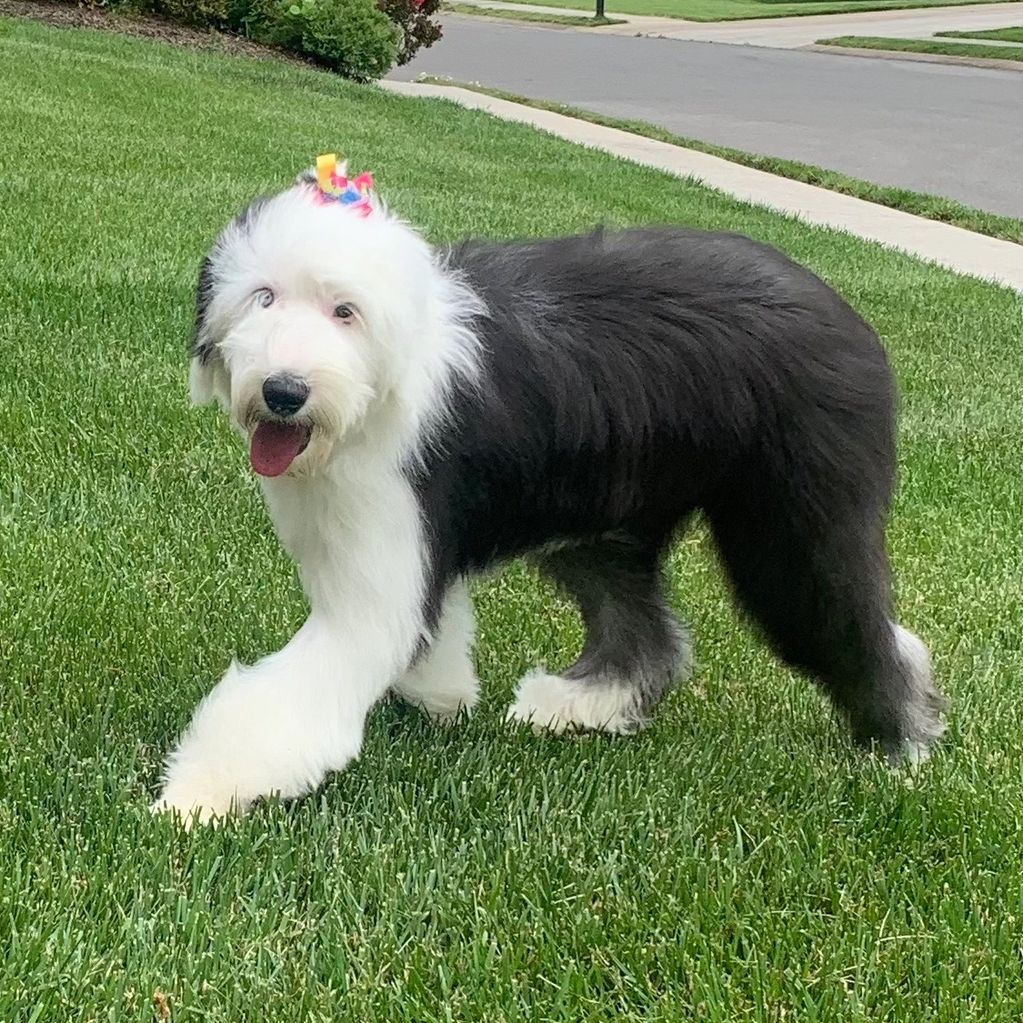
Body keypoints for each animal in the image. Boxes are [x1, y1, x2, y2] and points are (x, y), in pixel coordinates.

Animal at [153, 155, 949, 822]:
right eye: (262, 297)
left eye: (343, 311)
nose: (283, 391)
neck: (378, 386)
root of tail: (851, 322)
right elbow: (429, 628)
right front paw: (444, 692)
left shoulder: (381, 557)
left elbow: (307, 681)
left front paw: (198, 791)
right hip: (606, 522)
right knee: (647, 637)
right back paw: (575, 705)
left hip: (789, 527)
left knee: (857, 626)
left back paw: (902, 746)